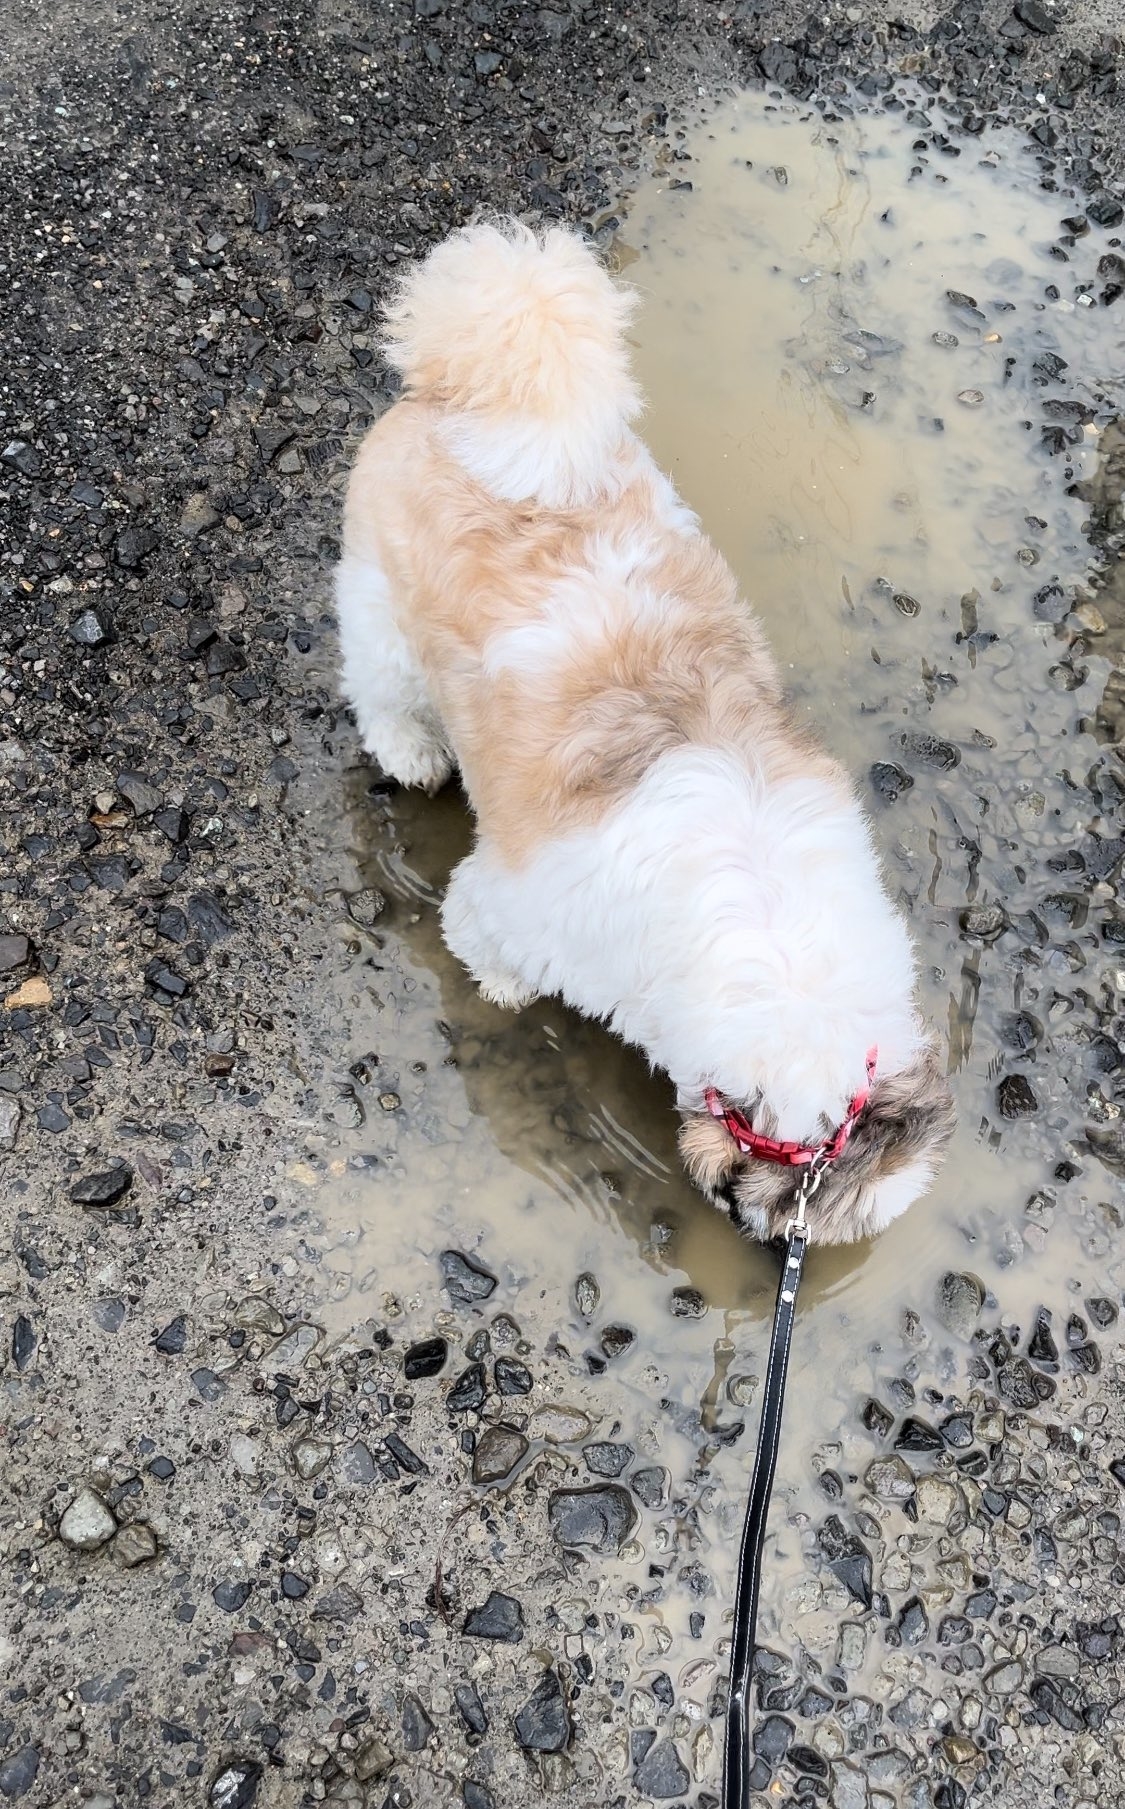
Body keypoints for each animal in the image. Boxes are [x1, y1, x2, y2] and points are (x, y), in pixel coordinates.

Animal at [332, 215, 954, 1244]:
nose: (766, 1245)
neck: (780, 949)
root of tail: (473, 404)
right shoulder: (516, 909)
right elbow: (484, 939)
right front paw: (501, 987)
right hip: (383, 623)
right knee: (383, 694)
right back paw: (412, 750)